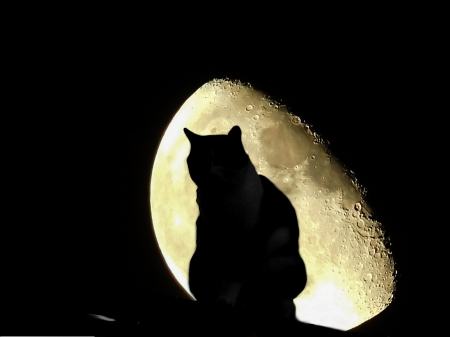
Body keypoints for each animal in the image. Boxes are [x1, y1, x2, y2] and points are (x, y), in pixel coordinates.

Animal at [185, 125, 308, 326]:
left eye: (220, 157)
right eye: (198, 159)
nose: (207, 168)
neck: (221, 201)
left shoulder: (248, 243)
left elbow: (234, 276)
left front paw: (225, 302)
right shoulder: (208, 236)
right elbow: (215, 276)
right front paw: (215, 300)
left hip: (285, 265)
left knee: (283, 301)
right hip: (198, 260)